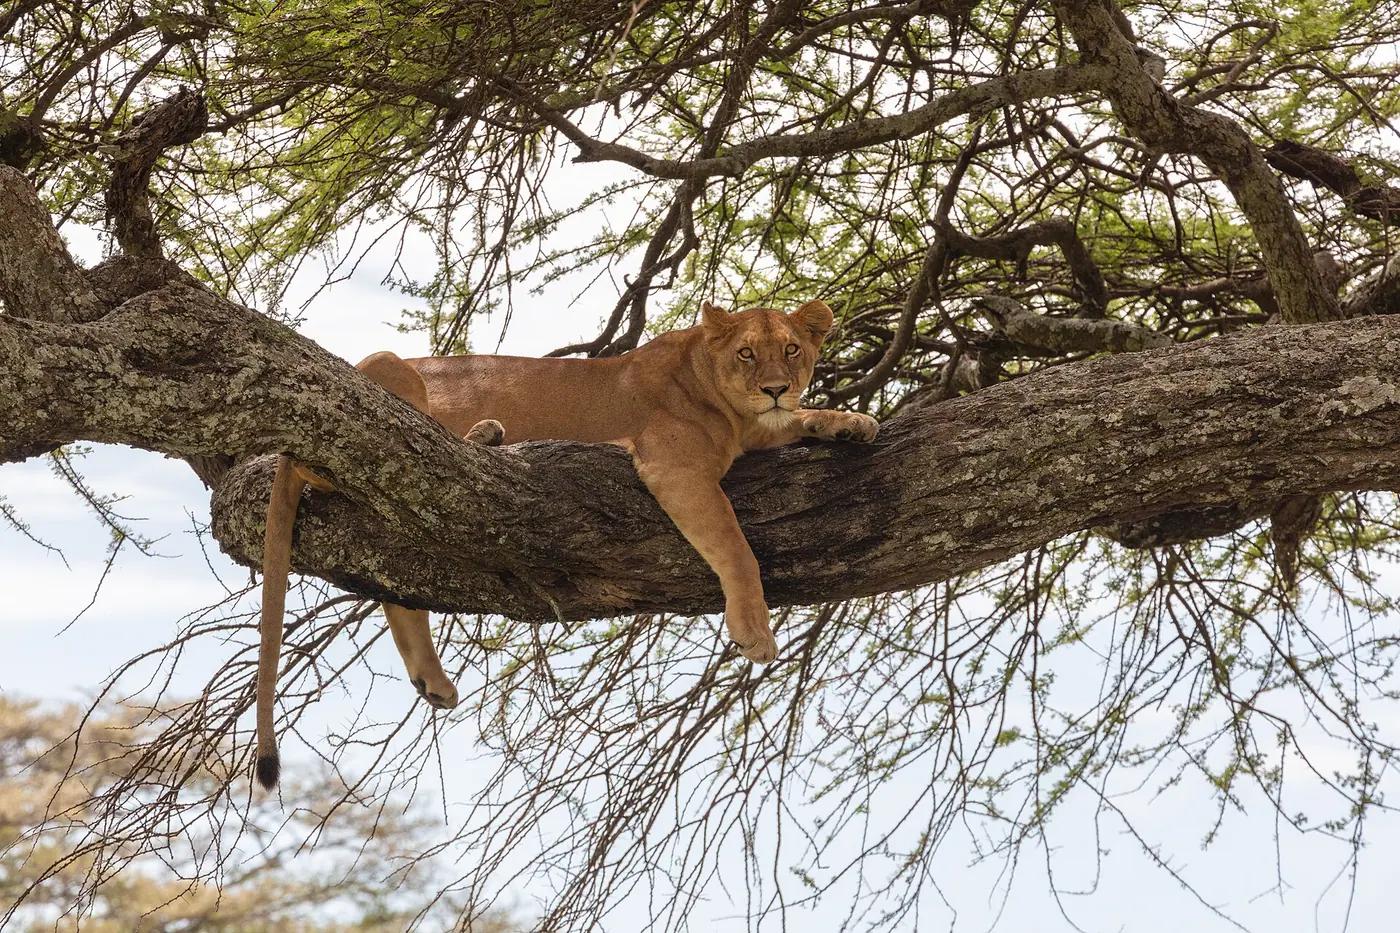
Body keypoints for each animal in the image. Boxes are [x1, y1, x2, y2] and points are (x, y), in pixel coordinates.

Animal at [255, 299, 879, 788]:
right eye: (747, 354)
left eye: (792, 350)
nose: (775, 388)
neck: (714, 386)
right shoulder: (674, 467)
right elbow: (735, 547)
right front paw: (753, 630)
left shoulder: (751, 432)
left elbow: (791, 421)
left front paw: (848, 421)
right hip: (384, 374)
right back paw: (485, 434)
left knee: (395, 576)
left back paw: (432, 681)